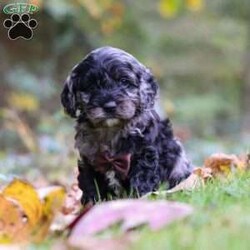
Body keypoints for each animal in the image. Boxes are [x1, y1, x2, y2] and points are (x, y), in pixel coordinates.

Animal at [60, 46, 191, 204]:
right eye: (91, 85)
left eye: (124, 81)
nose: (109, 106)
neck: (111, 129)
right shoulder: (89, 159)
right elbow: (90, 183)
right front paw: (90, 204)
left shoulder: (146, 155)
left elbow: (142, 179)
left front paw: (139, 198)